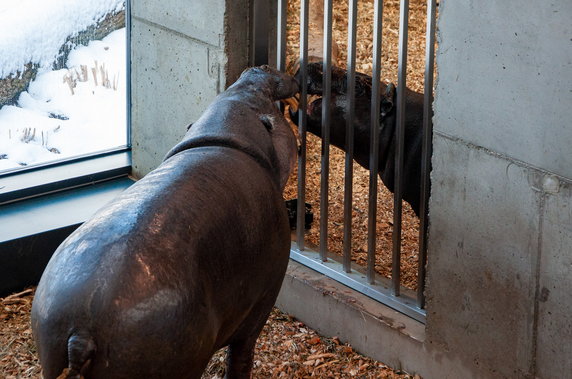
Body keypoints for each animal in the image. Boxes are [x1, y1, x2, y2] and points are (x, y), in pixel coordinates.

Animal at [30, 66, 300, 379]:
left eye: (237, 87)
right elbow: (240, 359)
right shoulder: (261, 304)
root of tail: (80, 334)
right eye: (269, 107)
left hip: (51, 344)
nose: (257, 68)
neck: (225, 135)